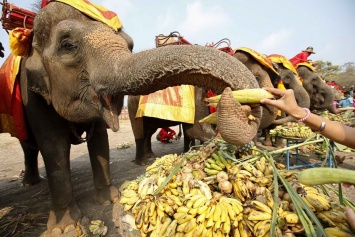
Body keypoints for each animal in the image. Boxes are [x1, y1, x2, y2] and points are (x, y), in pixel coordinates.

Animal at [3, 0, 262, 233]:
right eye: (67, 45)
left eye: (130, 44)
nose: (246, 110)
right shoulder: (31, 91)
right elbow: (54, 146)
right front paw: (65, 227)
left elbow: (100, 139)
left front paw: (110, 199)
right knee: (31, 146)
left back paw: (148, 159)